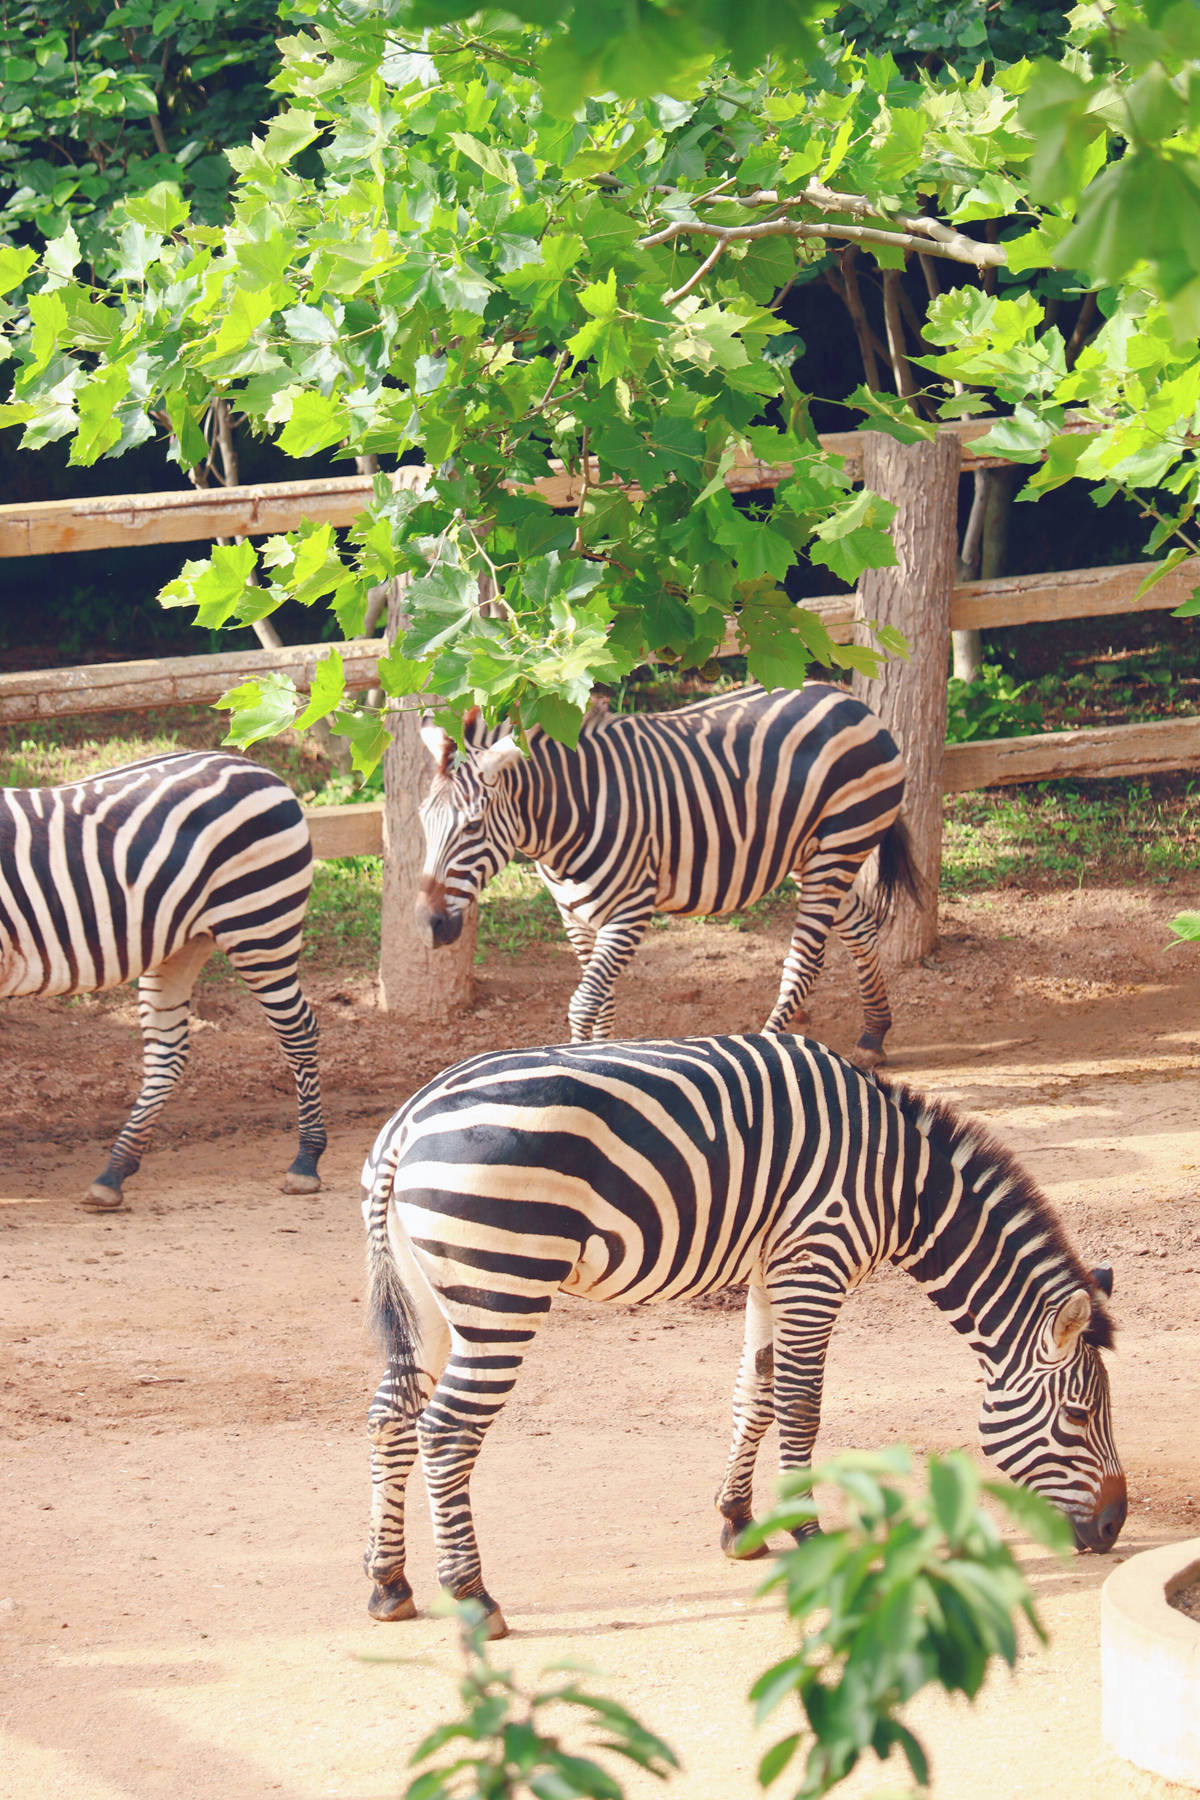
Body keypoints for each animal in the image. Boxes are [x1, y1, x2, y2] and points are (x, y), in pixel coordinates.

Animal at [0, 745, 325, 1209]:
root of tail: (254, 766)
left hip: (260, 926)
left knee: (298, 1031)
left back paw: (306, 1161)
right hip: (181, 944)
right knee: (167, 1051)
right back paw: (114, 1172)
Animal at [363, 1029, 1129, 1634]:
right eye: (1078, 1415)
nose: (1115, 1527)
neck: (903, 1185)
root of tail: (403, 1123)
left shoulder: (773, 1270)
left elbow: (753, 1393)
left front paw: (738, 1521)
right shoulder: (816, 1264)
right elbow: (799, 1404)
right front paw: (810, 1532)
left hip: (429, 1300)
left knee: (390, 1416)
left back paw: (389, 1584)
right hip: (500, 1289)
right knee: (446, 1431)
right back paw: (472, 1596)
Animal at [422, 680, 921, 1058]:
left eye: (472, 827)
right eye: (423, 820)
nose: (430, 925)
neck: (567, 814)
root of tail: (850, 701)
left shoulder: (630, 911)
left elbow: (584, 1002)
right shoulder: (574, 916)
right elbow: (602, 1000)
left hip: (839, 845)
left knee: (807, 959)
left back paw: (772, 1044)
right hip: (806, 852)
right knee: (860, 927)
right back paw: (875, 1033)